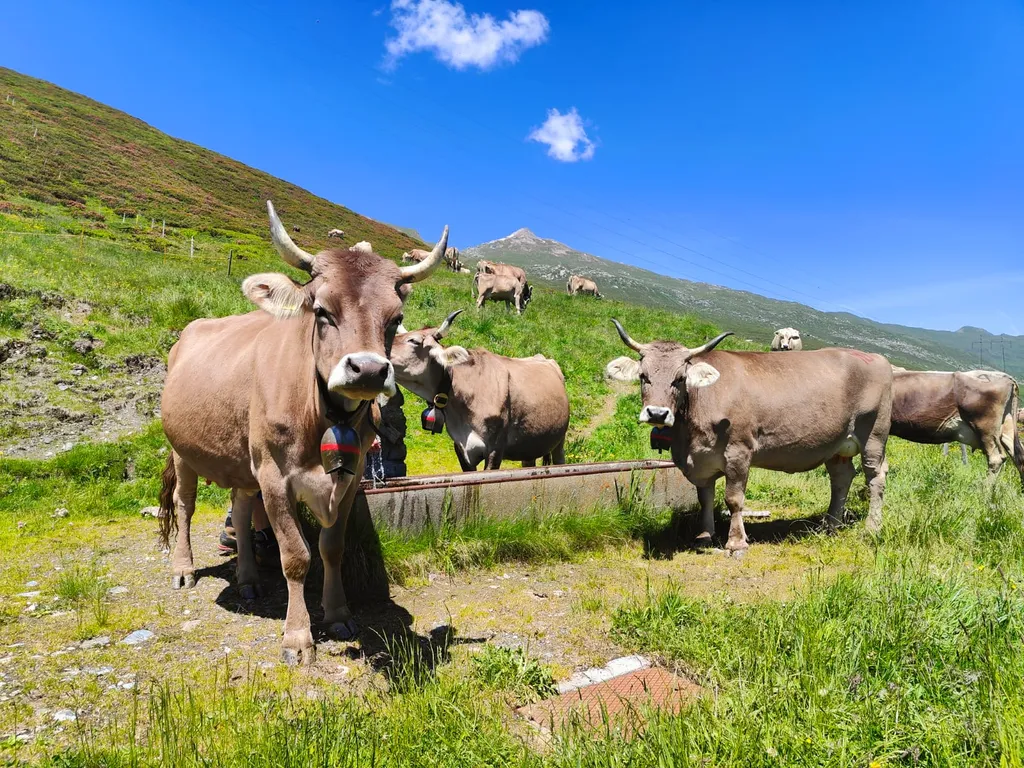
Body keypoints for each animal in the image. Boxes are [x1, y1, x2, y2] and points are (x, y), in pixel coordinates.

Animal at [158, 200, 449, 665]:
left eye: (395, 318)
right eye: (322, 311)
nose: (368, 370)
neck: (322, 414)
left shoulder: (350, 478)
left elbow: (331, 548)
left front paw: (338, 614)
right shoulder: (275, 476)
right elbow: (295, 555)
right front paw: (298, 637)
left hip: (244, 458)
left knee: (241, 507)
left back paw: (248, 579)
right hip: (183, 449)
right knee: (185, 505)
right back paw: (183, 569)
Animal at [611, 319, 893, 553]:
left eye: (680, 379)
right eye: (643, 376)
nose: (657, 413)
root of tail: (875, 357)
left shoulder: (739, 450)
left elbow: (734, 499)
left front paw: (736, 542)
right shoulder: (702, 459)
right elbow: (705, 499)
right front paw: (705, 536)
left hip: (874, 434)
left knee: (875, 477)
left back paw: (872, 528)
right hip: (836, 444)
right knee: (841, 478)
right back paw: (830, 525)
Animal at [890, 369, 1024, 486]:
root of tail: (1005, 377)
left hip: (986, 429)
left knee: (996, 459)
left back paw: (984, 490)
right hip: (1006, 428)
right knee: (1019, 456)